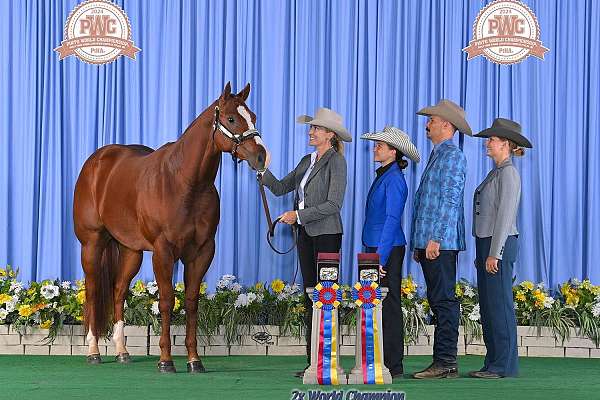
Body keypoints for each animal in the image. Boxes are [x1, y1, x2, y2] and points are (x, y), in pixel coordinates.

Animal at [73, 83, 270, 374]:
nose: (261, 156)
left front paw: (194, 360)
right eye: (232, 118)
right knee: (94, 290)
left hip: (131, 251)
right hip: (92, 243)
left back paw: (122, 352)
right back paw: (94, 352)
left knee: (118, 291)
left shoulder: (202, 251)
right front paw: (165, 360)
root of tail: (96, 162)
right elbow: (166, 301)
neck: (185, 183)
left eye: (253, 116)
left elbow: (191, 302)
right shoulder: (163, 251)